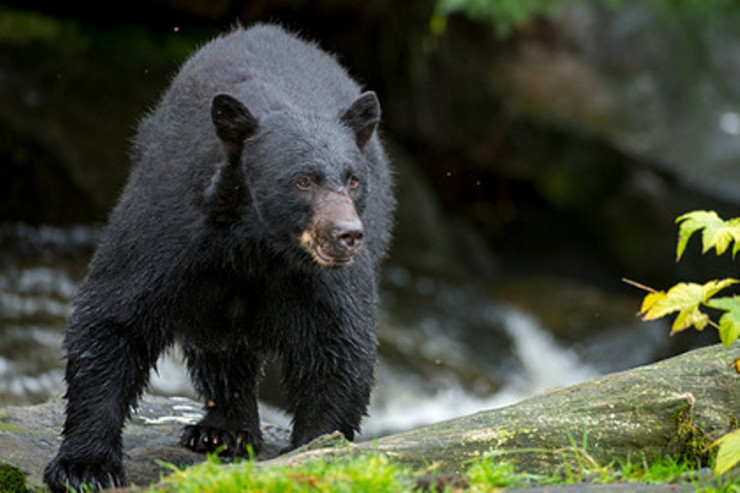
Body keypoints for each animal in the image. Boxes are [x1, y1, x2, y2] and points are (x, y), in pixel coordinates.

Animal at [42, 24, 394, 492]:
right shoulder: (171, 230)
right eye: (303, 179)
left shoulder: (320, 279)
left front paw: (318, 446)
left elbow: (337, 345)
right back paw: (223, 430)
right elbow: (115, 317)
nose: (347, 235)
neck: (256, 244)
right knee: (220, 347)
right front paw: (85, 467)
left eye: (353, 179)